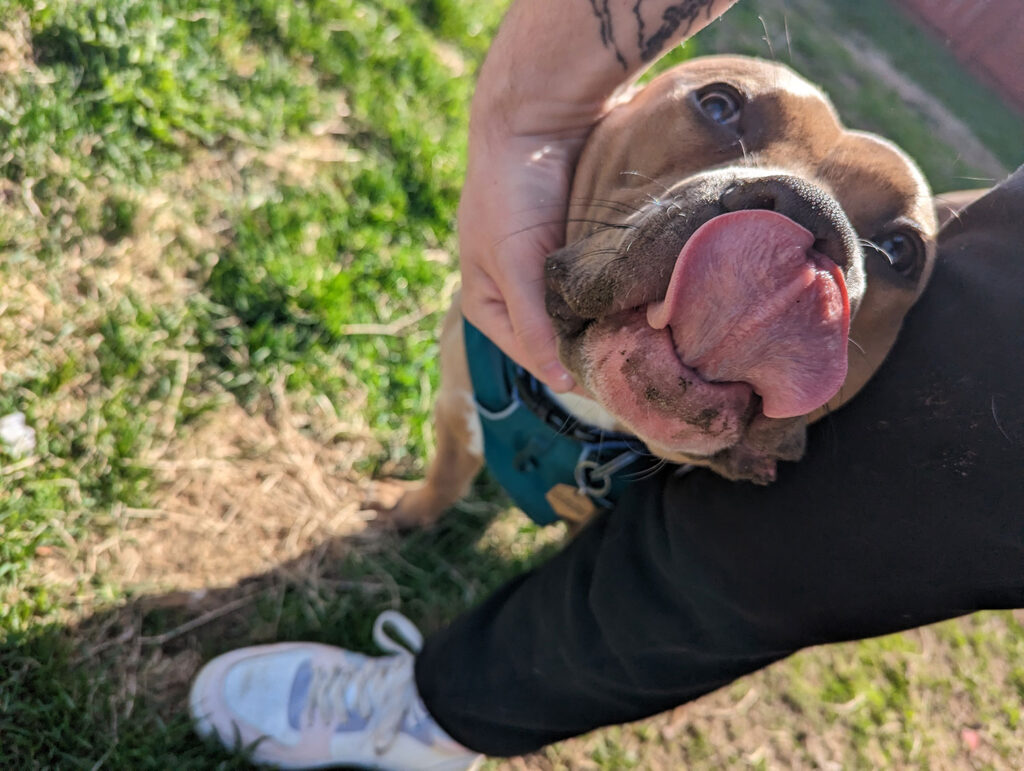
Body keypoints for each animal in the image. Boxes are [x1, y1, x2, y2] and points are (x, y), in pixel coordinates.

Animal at [376, 54, 937, 528]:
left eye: (901, 251)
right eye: (718, 104)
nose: (809, 210)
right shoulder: (454, 403)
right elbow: (445, 476)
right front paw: (406, 512)